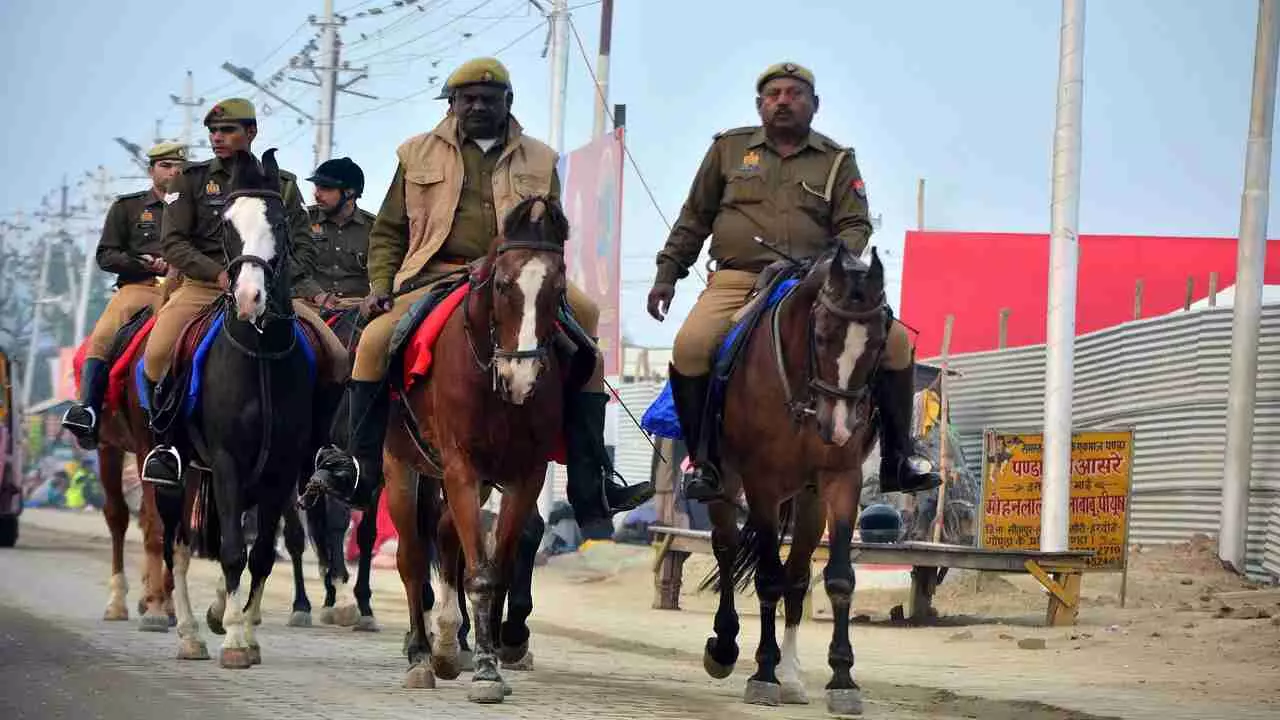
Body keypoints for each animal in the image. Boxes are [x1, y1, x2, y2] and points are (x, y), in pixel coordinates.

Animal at [152, 148, 320, 671]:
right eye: (225, 224)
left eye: (280, 223)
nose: (249, 298)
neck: (259, 354)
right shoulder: (226, 462)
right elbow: (229, 552)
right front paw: (230, 639)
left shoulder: (280, 471)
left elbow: (262, 554)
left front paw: (243, 634)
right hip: (176, 476)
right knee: (176, 547)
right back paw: (189, 633)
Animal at [378, 196, 570, 702]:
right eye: (502, 284)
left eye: (558, 288)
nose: (521, 378)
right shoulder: (460, 467)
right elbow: (479, 575)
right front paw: (483, 670)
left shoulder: (524, 474)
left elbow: (494, 567)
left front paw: (488, 659)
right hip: (400, 465)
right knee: (411, 558)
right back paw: (421, 655)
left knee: (447, 538)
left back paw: (447, 645)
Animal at [701, 242, 890, 712]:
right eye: (821, 337)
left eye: (879, 342)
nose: (837, 428)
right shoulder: (762, 484)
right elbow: (768, 578)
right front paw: (763, 673)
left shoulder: (841, 479)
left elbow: (838, 578)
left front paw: (842, 678)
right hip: (727, 482)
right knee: (727, 548)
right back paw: (726, 647)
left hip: (808, 500)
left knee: (799, 574)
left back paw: (791, 675)